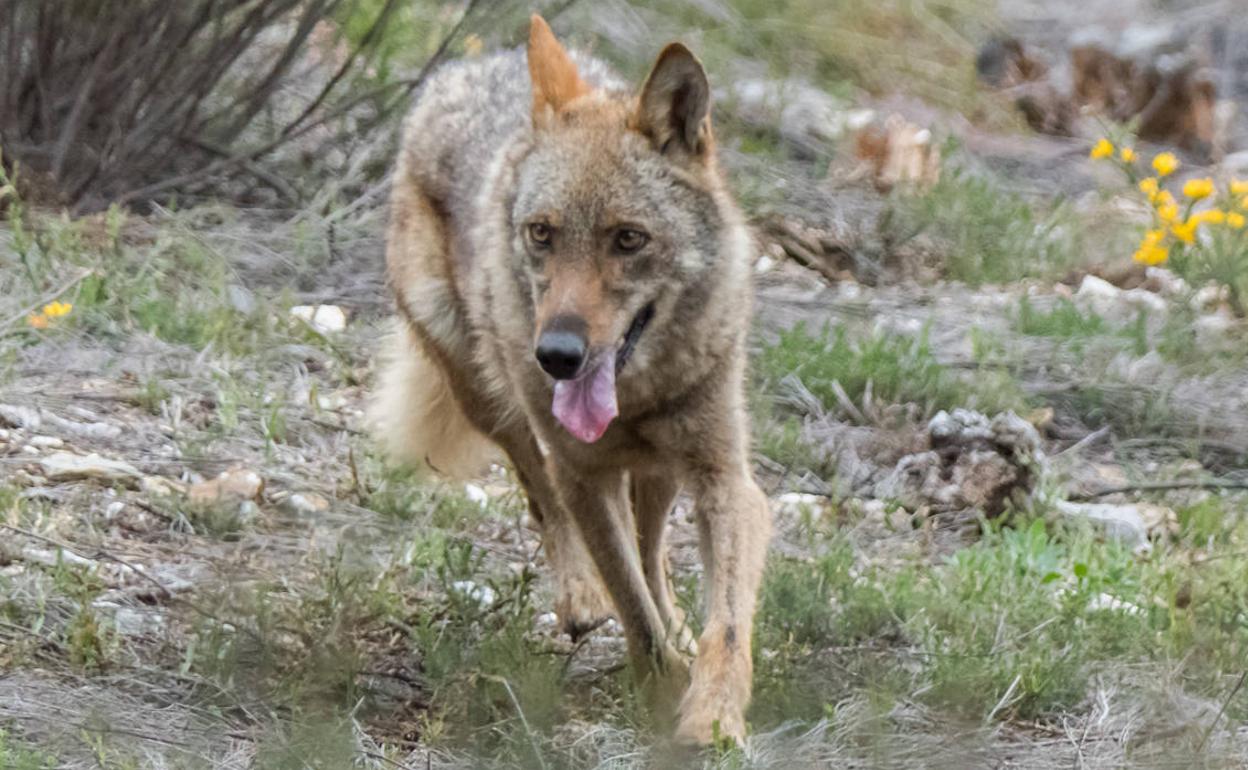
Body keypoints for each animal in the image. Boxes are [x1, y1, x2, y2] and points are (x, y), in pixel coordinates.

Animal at [364, 14, 763, 743]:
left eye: (628, 238)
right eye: (542, 233)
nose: (557, 354)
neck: (636, 396)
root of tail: (471, 67)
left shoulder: (725, 478)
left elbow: (721, 624)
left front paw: (712, 720)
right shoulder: (582, 472)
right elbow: (631, 607)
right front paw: (661, 692)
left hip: (662, 473)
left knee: (653, 551)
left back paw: (675, 625)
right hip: (488, 395)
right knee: (541, 493)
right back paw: (580, 598)